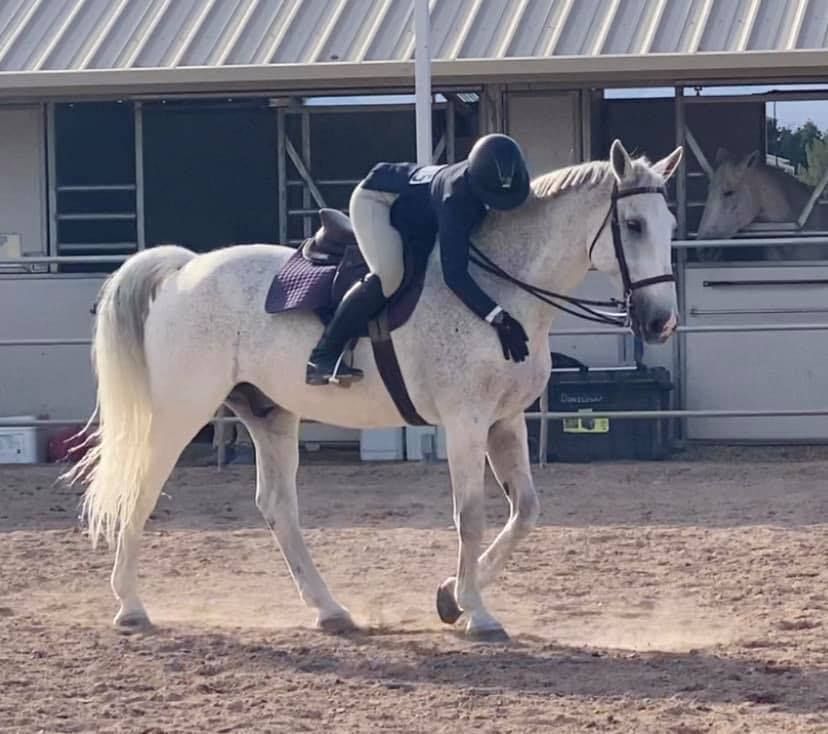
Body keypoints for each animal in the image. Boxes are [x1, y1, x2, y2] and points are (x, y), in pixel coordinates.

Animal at [64, 139, 684, 644]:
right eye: (633, 225)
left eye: (672, 223)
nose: (660, 323)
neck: (501, 290)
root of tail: (185, 270)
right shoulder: (465, 422)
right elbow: (471, 515)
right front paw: (477, 613)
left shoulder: (504, 421)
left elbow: (525, 511)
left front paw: (450, 599)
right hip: (181, 410)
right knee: (141, 490)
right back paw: (130, 607)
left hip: (269, 411)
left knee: (277, 507)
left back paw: (331, 611)